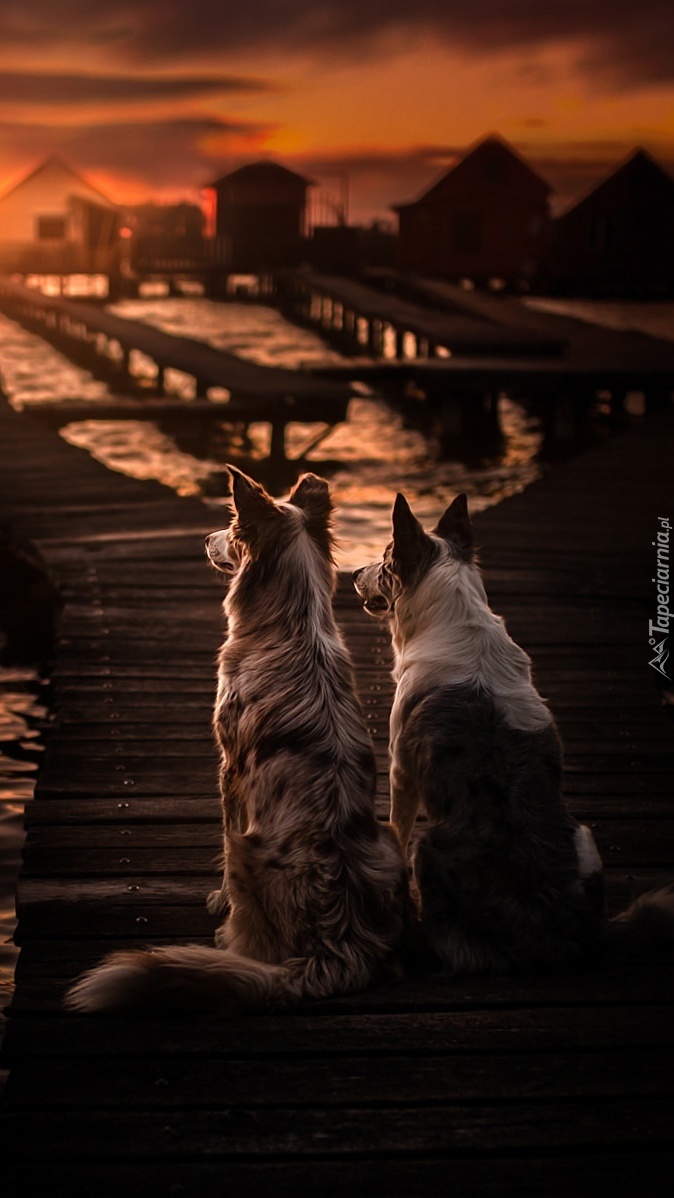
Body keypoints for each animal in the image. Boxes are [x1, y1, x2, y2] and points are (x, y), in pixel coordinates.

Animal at [65, 467, 409, 1011]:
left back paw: (228, 939)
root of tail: (337, 950)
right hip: (390, 839)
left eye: (230, 528)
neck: (291, 624)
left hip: (243, 849)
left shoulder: (230, 764)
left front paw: (219, 901)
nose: (205, 539)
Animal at [354, 491, 674, 967]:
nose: (354, 572)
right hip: (584, 837)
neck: (456, 619)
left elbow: (397, 827)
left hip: (430, 847)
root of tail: (560, 935)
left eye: (387, 557)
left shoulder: (401, 771)